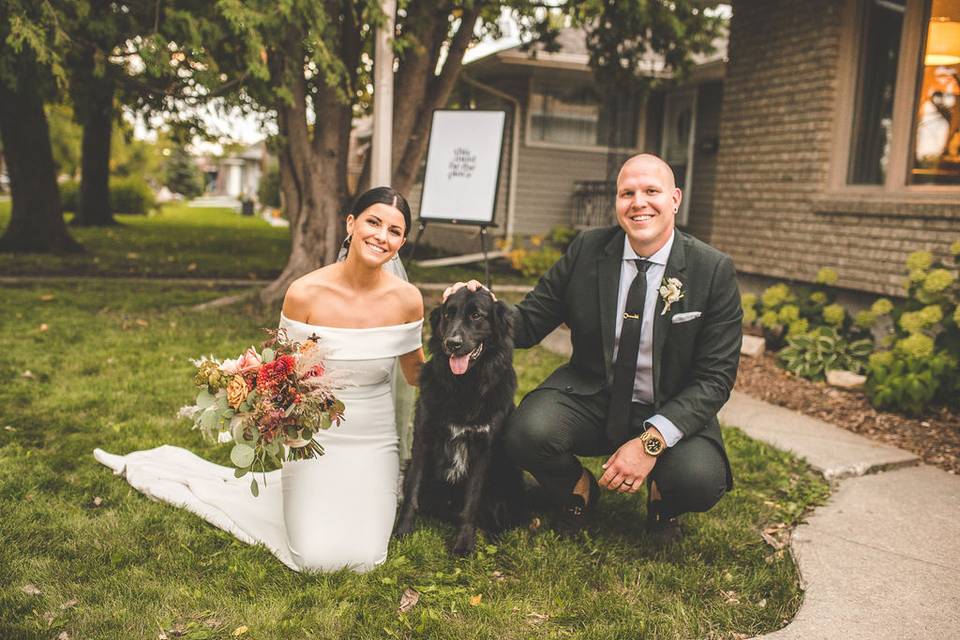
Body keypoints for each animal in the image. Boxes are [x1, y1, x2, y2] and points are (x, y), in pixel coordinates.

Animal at [392, 286, 524, 556]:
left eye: (476, 315)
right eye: (447, 315)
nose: (452, 344)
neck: (465, 386)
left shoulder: (483, 449)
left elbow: (471, 502)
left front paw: (463, 543)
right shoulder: (423, 438)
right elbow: (412, 492)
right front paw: (404, 530)